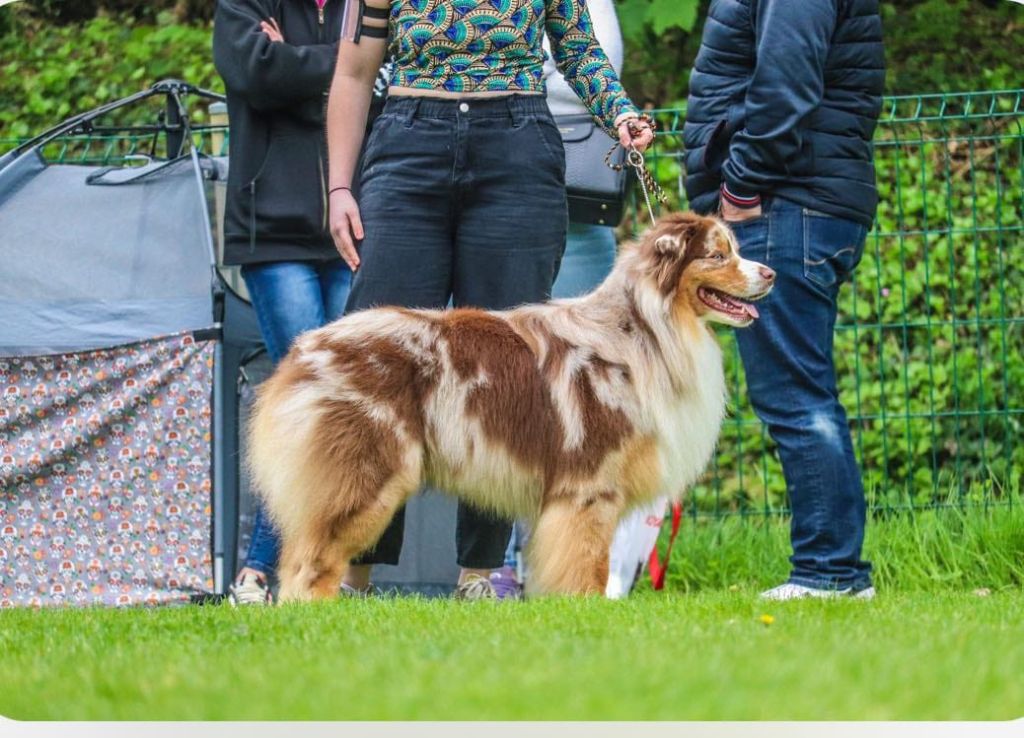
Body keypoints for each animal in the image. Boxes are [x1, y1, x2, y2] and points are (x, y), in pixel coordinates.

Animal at [249, 211, 774, 597]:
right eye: (718, 254)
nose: (769, 272)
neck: (646, 327)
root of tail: (305, 348)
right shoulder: (590, 487)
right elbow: (589, 566)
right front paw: (589, 611)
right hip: (365, 476)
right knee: (311, 563)